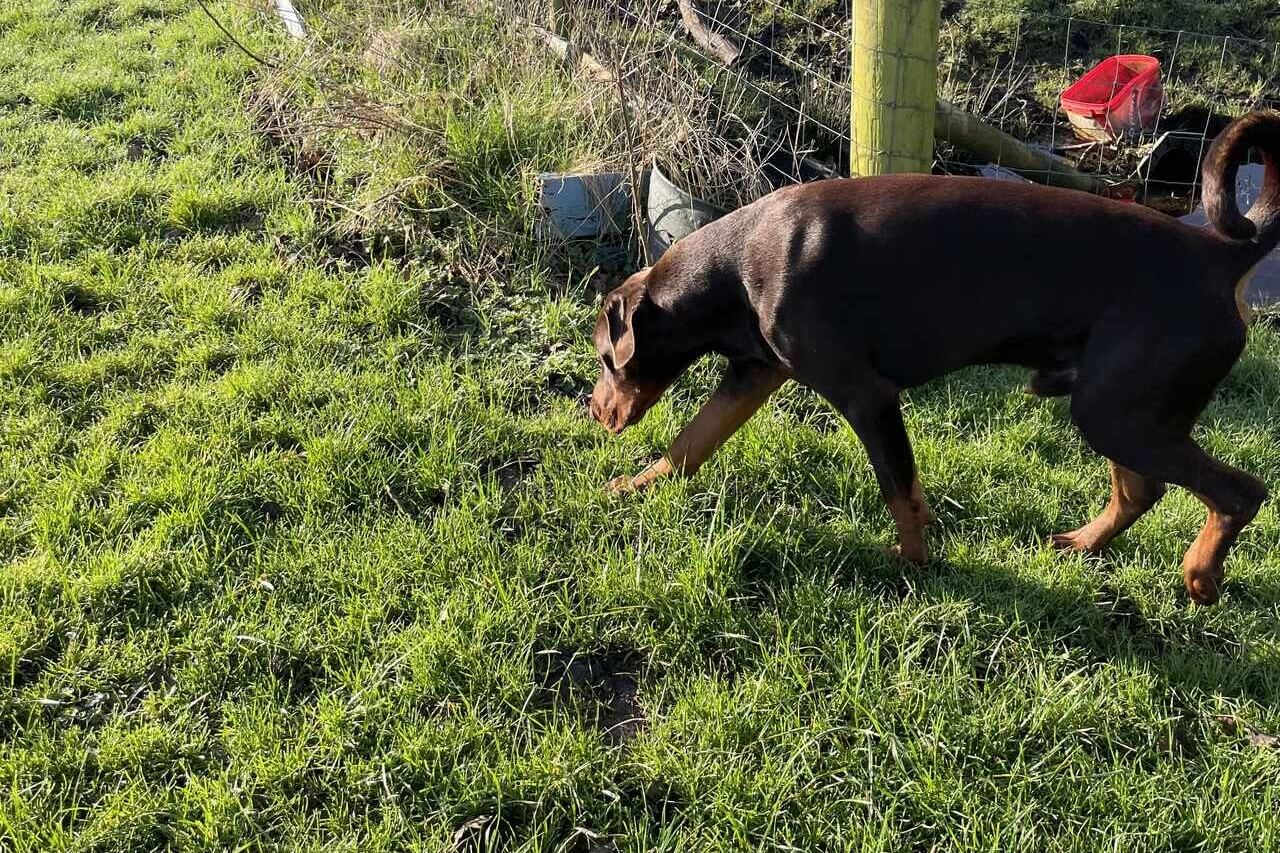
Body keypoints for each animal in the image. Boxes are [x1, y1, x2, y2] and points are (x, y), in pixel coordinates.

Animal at [591, 109, 1280, 601]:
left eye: (604, 358)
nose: (594, 411)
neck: (736, 267)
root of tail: (1220, 256)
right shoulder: (753, 374)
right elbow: (688, 445)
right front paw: (631, 487)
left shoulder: (867, 396)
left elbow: (901, 489)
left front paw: (912, 563)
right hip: (1118, 408)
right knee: (1141, 489)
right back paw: (1084, 543)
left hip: (1118, 413)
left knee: (1240, 492)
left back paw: (1201, 577)